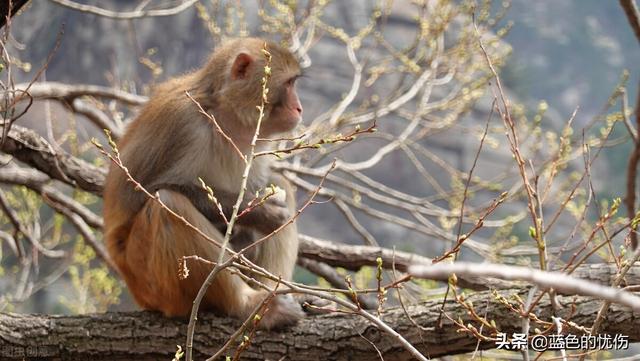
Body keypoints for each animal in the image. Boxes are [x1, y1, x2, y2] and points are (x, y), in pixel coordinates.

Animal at [102, 37, 304, 330]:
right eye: (288, 84)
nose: (299, 108)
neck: (224, 115)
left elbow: (266, 184)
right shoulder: (183, 123)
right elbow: (142, 192)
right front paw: (259, 211)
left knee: (281, 184)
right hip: (149, 280)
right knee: (168, 204)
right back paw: (249, 304)